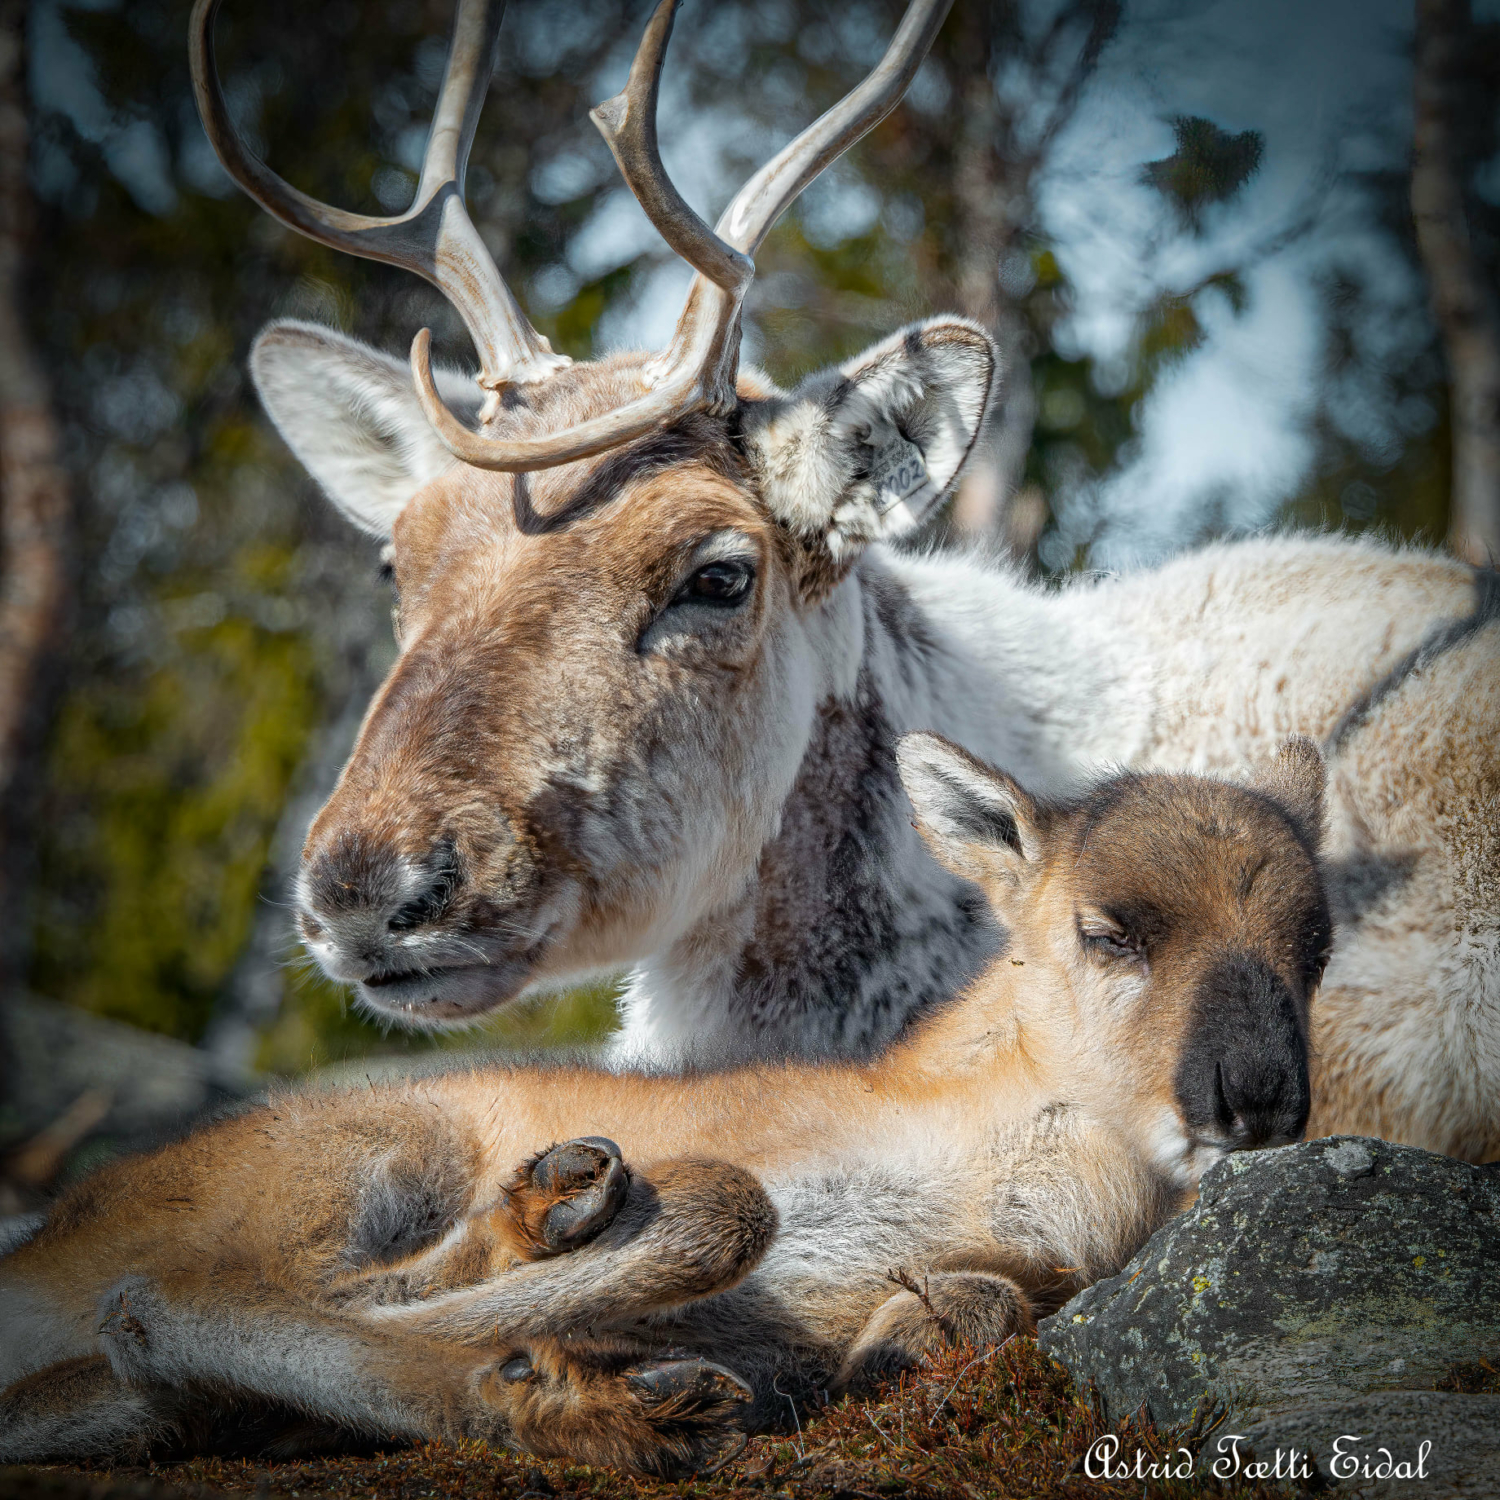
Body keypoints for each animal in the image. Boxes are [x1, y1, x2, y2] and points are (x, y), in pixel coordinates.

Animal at [0, 738, 1332, 1476]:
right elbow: (726, 1208)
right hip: (375, 1149)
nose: (1262, 1101)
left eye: (1314, 944)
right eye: (1109, 933)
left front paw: (895, 1337)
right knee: (176, 1306)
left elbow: (982, 1306)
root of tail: (43, 1246)